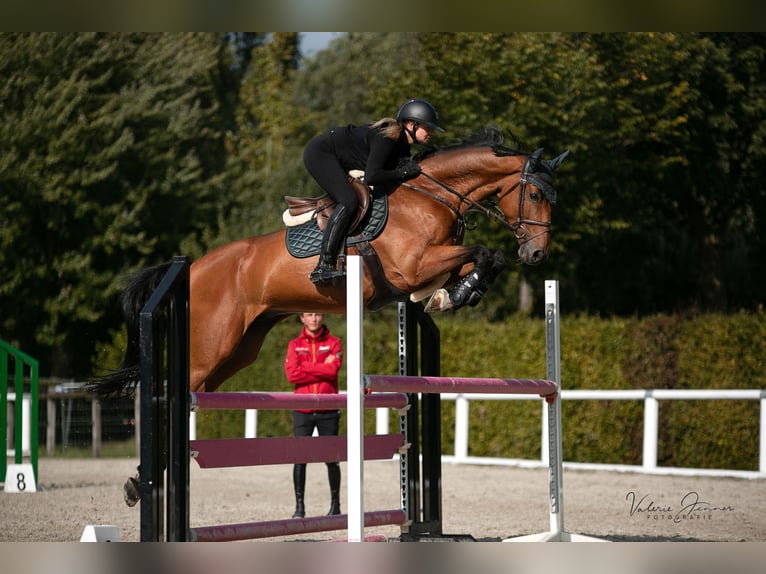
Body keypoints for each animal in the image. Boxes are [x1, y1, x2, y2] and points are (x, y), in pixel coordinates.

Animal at [94, 127, 569, 398]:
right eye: (535, 194)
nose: (537, 253)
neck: (432, 195)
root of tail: (190, 268)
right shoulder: (413, 266)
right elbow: (484, 253)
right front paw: (453, 295)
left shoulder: (434, 264)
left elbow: (485, 259)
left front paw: (454, 294)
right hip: (211, 346)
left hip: (240, 348)